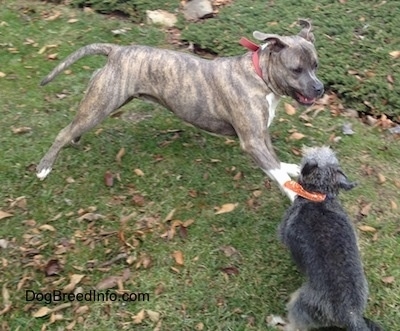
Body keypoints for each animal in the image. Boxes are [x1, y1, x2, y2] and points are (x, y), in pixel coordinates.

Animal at [278, 148, 382, 331]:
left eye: (317, 152)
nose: (309, 148)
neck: (318, 196)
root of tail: (350, 314)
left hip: (301, 304)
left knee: (294, 324)